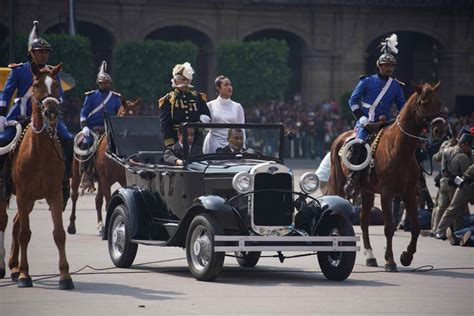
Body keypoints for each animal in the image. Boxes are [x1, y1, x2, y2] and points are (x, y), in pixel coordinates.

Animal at [0, 62, 74, 288]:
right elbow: (25, 234)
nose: (51, 112)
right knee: (5, 221)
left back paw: (13, 267)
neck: (39, 151)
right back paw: (6, 267)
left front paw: (65, 276)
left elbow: (59, 234)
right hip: (9, 193)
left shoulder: (54, 194)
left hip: (31, 199)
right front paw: (25, 275)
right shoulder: (23, 193)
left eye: (56, 85)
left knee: (15, 223)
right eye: (36, 84)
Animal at [66, 98, 141, 235]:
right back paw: (71, 226)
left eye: (137, 116)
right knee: (74, 196)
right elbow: (108, 204)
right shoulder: (106, 180)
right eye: (123, 116)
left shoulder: (122, 180)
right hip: (77, 175)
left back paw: (100, 225)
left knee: (97, 200)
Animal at [330, 82, 444, 272]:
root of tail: (340, 137)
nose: (439, 129)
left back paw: (370, 256)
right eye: (424, 102)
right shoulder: (386, 192)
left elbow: (416, 226)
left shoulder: (409, 192)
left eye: (439, 103)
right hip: (340, 186)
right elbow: (389, 227)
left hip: (367, 191)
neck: (400, 149)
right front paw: (390, 261)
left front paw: (406, 256)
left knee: (363, 221)